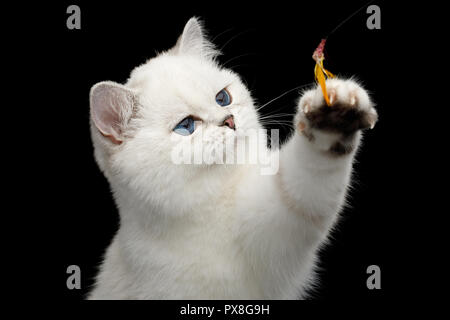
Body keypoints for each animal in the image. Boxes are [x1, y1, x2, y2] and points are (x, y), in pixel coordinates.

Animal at [87, 16, 376, 298]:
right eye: (186, 126)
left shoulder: (278, 223)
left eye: (223, 98)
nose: (229, 120)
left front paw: (335, 106)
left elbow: (305, 183)